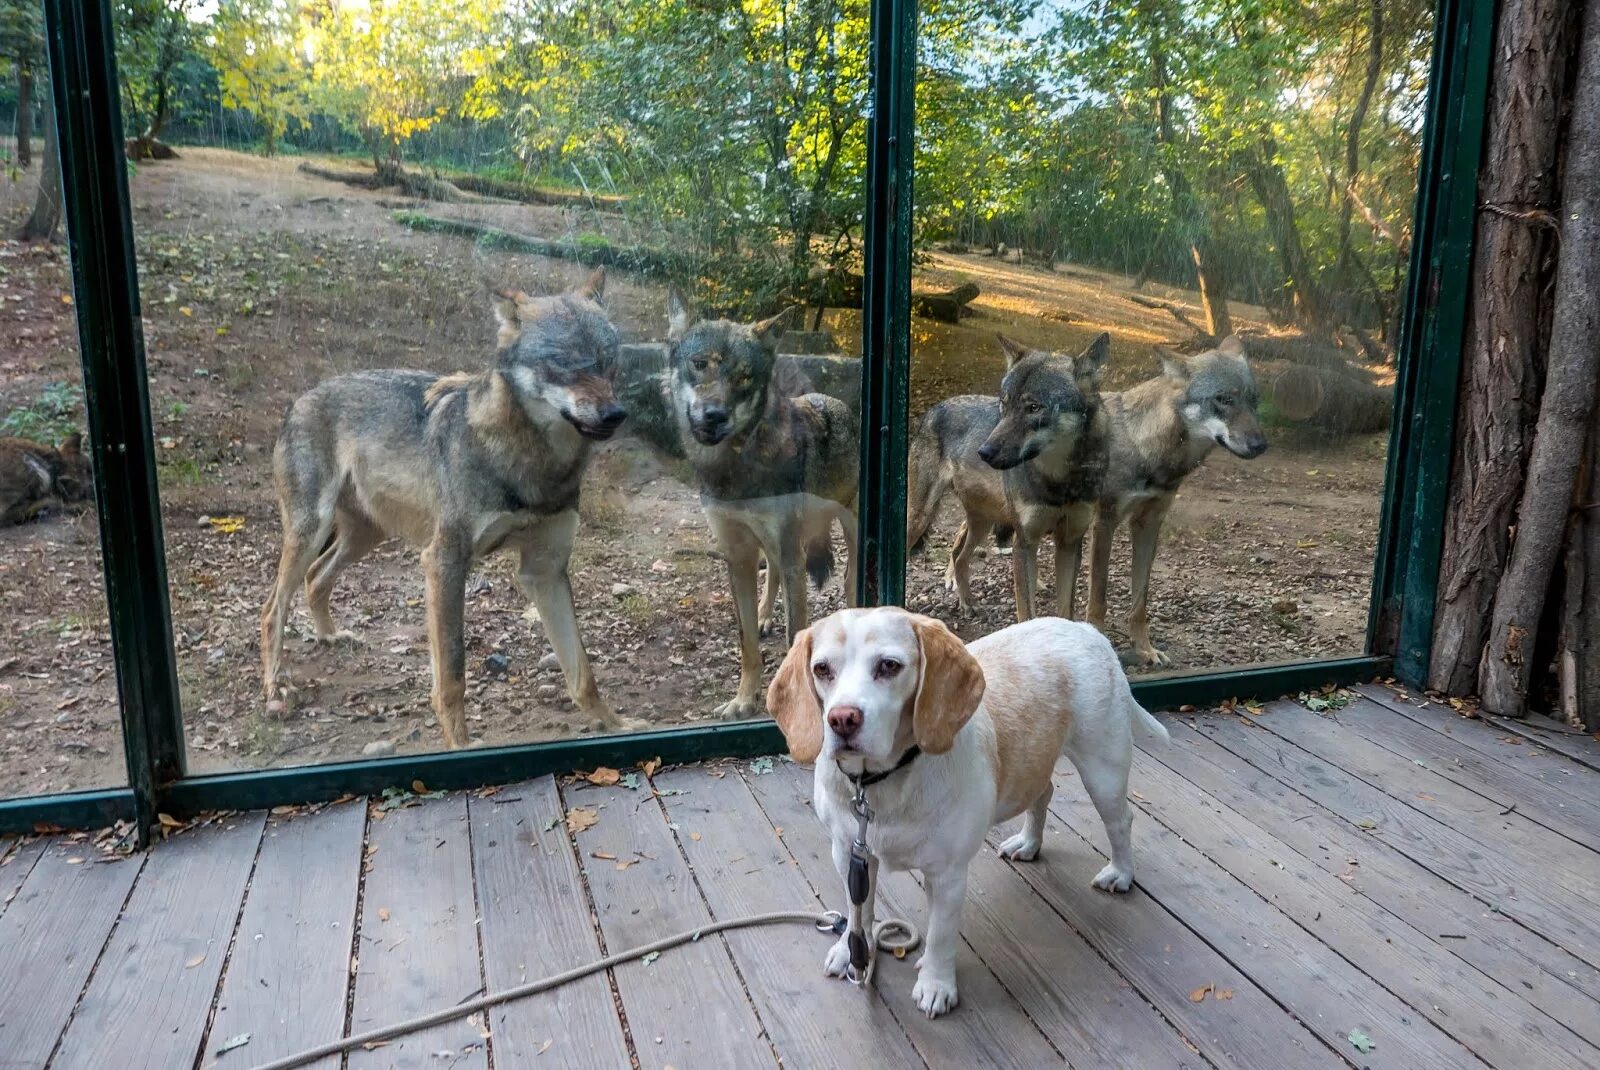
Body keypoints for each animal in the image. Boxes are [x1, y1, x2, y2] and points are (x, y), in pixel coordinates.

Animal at [665, 286, 864, 716]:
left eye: (744, 377)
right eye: (699, 365)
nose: (714, 415)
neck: (736, 468)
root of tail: (835, 400)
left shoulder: (793, 559)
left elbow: (796, 638)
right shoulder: (737, 554)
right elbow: (747, 645)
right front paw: (743, 700)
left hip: (848, 531)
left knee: (849, 579)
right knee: (770, 572)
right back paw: (763, 616)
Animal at [768, 604, 1171, 1017]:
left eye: (889, 666)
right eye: (822, 670)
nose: (842, 719)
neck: (879, 785)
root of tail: (1084, 629)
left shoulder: (947, 875)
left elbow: (940, 936)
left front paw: (936, 984)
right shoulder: (850, 855)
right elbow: (857, 912)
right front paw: (850, 952)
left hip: (1103, 770)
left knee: (1121, 822)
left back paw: (1120, 873)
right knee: (1043, 793)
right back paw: (1028, 843)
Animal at [908, 334, 1107, 617]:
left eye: (1034, 408)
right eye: (1004, 404)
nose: (984, 452)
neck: (1060, 481)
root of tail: (934, 409)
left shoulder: (1070, 542)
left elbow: (1065, 611)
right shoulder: (1024, 542)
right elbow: (1026, 612)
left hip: (982, 521)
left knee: (959, 554)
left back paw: (967, 602)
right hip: (919, 518)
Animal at [1081, 337, 1267, 662]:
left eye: (1253, 400)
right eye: (1223, 399)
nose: (1260, 445)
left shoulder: (1148, 524)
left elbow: (1140, 602)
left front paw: (1145, 650)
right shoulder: (1105, 523)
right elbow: (1099, 599)